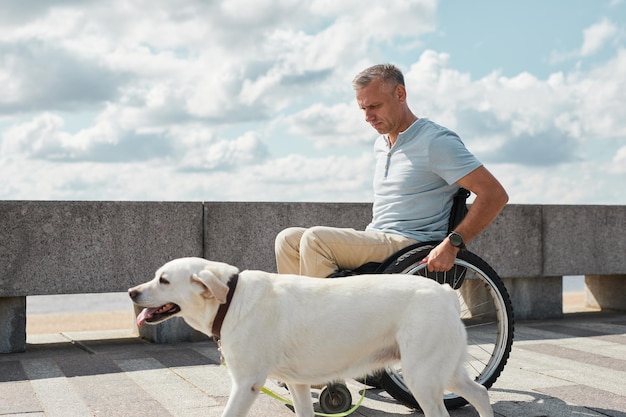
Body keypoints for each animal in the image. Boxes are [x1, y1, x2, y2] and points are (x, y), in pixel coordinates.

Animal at [128, 256, 492, 416]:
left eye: (163, 280)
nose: (131, 292)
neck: (230, 301)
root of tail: (445, 290)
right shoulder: (298, 384)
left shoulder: (246, 383)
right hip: (444, 370)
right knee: (480, 393)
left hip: (422, 378)